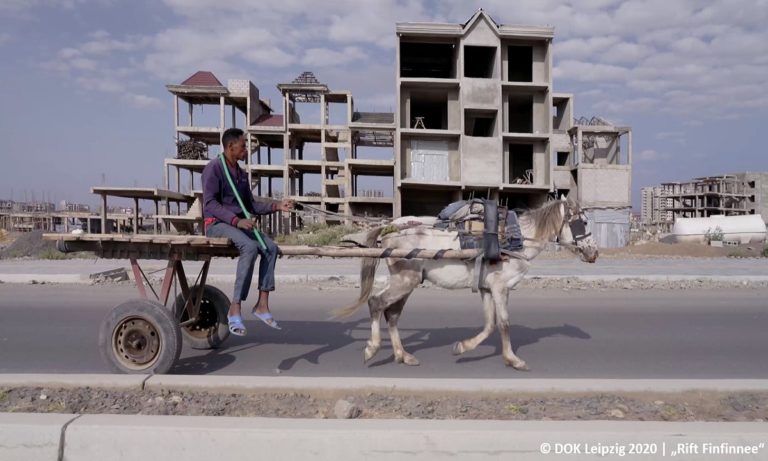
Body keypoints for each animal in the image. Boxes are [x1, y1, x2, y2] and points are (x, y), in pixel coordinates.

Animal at [336, 196, 600, 368]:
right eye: (585, 222)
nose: (594, 252)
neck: (516, 238)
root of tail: (390, 228)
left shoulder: (486, 288)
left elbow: (490, 324)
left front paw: (463, 347)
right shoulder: (500, 287)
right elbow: (504, 323)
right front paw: (513, 359)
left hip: (406, 282)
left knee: (391, 314)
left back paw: (403, 355)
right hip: (405, 280)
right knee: (376, 303)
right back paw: (372, 348)